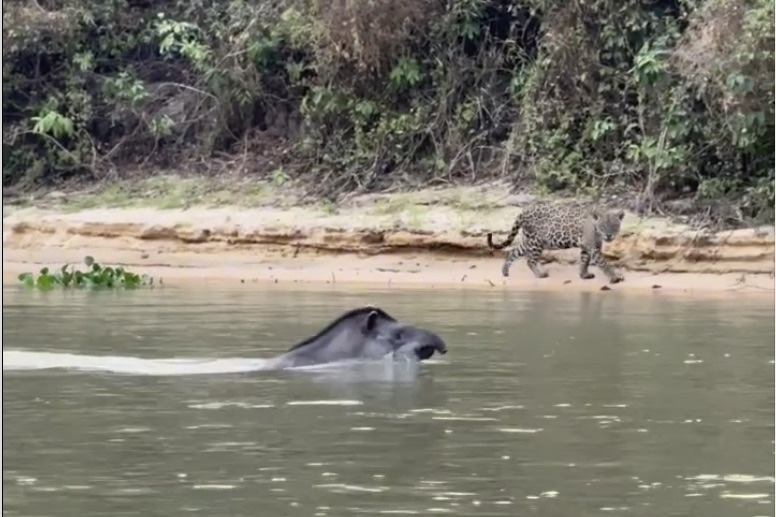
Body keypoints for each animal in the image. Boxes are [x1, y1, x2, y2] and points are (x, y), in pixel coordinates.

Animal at [486, 202, 626, 283]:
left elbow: (584, 261)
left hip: (529, 241)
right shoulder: (592, 247)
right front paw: (614, 277)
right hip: (536, 241)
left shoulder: (588, 246)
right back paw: (540, 275)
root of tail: (524, 211)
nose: (608, 235)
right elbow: (603, 263)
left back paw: (505, 271)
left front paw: (583, 275)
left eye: (614, 226)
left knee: (514, 251)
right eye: (603, 226)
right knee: (530, 260)